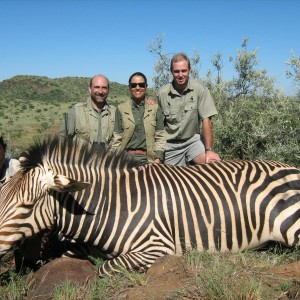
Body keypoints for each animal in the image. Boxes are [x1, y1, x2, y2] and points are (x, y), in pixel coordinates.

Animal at [0, 137, 298, 276]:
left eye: (27, 206)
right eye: (2, 196)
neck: (113, 205)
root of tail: (290, 166)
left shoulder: (157, 246)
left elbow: (104, 269)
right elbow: (64, 257)